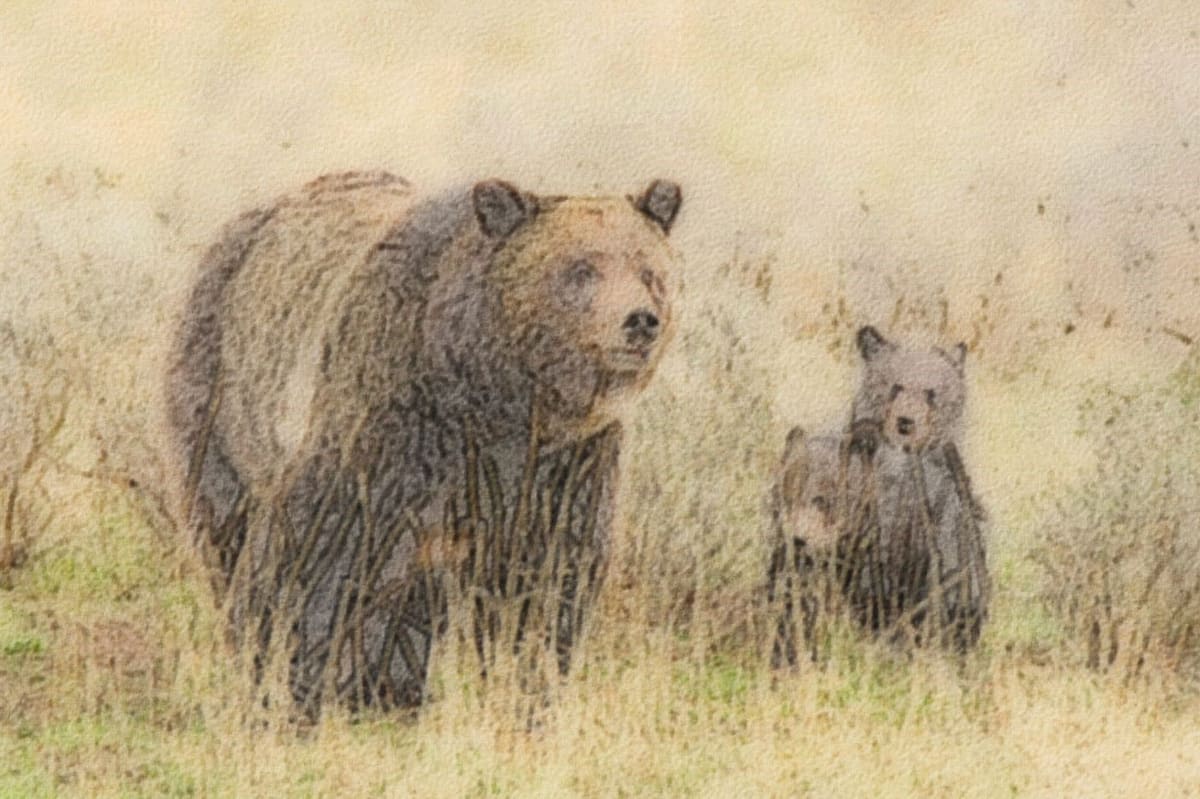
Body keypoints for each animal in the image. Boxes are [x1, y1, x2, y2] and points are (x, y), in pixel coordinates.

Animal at [167, 170, 683, 715]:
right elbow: (317, 550)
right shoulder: (384, 425)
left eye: (648, 270)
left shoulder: (561, 465)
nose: (639, 320)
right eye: (581, 269)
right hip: (220, 397)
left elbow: (552, 571)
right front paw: (298, 682)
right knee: (226, 527)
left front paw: (529, 685)